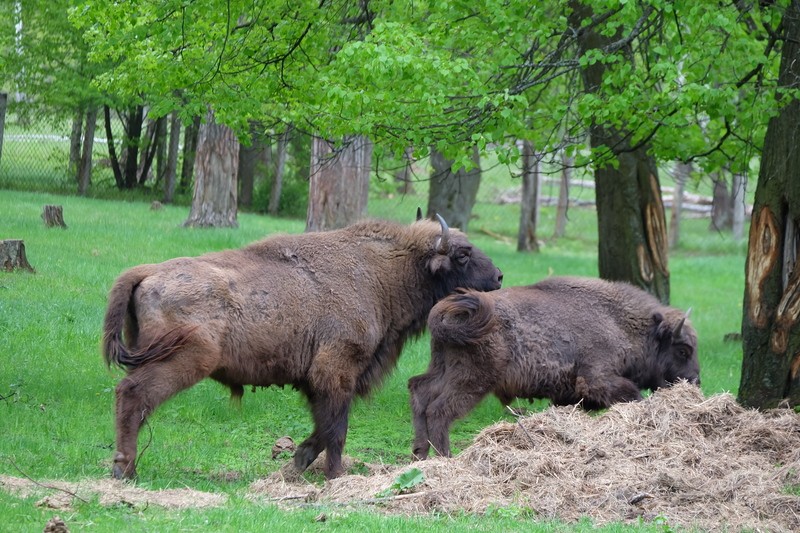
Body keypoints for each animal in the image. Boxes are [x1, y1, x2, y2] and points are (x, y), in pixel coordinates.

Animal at [101, 215, 500, 478]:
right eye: (463, 254)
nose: (498, 277)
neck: (384, 272)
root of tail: (148, 271)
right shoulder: (337, 370)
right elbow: (337, 428)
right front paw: (335, 476)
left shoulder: (317, 381)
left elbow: (324, 425)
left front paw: (300, 460)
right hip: (184, 360)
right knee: (133, 395)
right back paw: (125, 470)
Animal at [410, 278, 696, 458]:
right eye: (683, 350)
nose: (695, 381)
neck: (617, 322)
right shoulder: (598, 378)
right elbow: (631, 393)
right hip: (473, 380)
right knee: (439, 410)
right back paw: (445, 457)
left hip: (443, 369)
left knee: (419, 391)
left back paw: (420, 454)